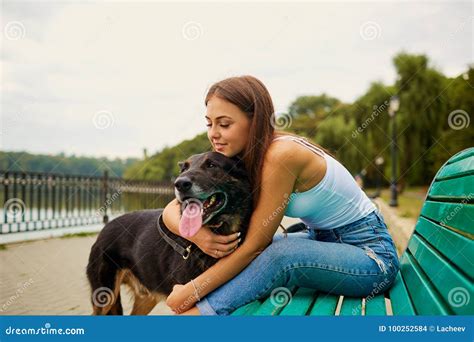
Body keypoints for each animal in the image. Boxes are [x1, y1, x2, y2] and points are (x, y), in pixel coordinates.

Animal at [86, 152, 254, 316]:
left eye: (212, 165)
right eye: (184, 169)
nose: (180, 184)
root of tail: (105, 227)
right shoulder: (183, 299)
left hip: (145, 299)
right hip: (105, 297)